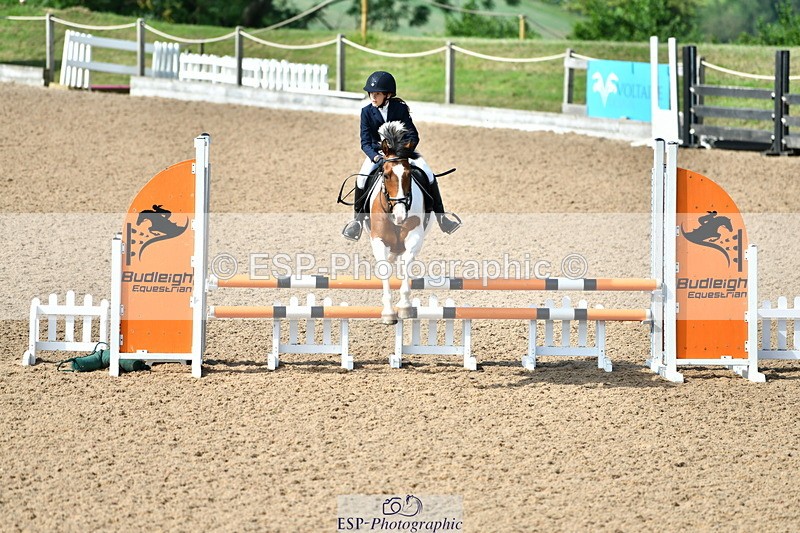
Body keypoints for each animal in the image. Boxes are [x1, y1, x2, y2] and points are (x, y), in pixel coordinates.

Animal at [365, 121, 432, 324]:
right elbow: (384, 270)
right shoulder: (378, 240)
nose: (400, 216)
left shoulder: (414, 237)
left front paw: (404, 307)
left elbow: (407, 266)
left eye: (409, 175)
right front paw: (388, 312)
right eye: (386, 175)